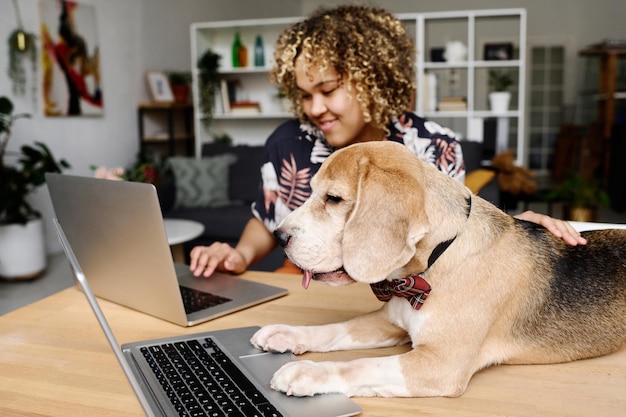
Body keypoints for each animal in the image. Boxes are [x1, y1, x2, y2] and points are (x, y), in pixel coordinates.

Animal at [250, 140, 624, 396]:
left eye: (334, 199)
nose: (279, 236)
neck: (432, 266)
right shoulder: (389, 322)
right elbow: (334, 329)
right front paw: (287, 334)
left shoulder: (440, 364)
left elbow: (361, 365)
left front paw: (308, 372)